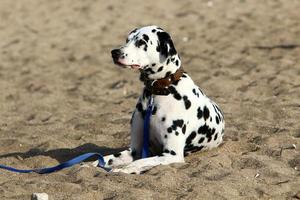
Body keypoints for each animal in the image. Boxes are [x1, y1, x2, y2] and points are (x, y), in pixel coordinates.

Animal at [92, 26, 224, 173]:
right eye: (127, 40)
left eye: (141, 42)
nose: (114, 52)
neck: (157, 93)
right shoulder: (135, 150)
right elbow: (107, 159)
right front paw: (90, 165)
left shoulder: (172, 155)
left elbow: (140, 162)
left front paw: (125, 170)